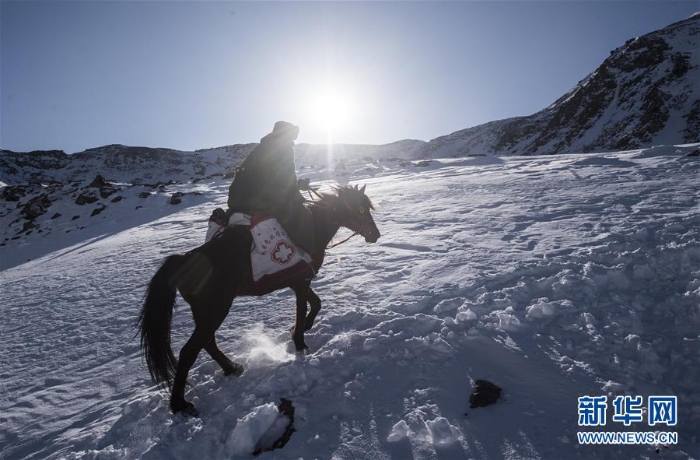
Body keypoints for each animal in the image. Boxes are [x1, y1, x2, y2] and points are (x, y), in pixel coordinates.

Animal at [139, 185, 380, 416]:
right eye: (360, 209)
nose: (375, 235)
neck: (312, 226)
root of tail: (183, 261)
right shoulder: (301, 282)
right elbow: (304, 309)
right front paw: (300, 343)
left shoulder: (298, 282)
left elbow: (316, 304)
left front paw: (301, 329)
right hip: (215, 309)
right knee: (189, 351)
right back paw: (181, 404)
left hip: (205, 312)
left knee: (207, 342)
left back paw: (232, 368)